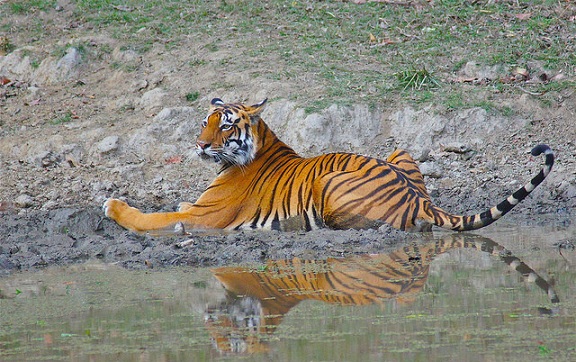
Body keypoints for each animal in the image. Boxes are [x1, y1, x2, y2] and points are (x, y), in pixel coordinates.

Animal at [102, 97, 552, 233]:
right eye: (204, 122)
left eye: (225, 124)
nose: (199, 144)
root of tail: (420, 200)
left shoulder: (203, 217)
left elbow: (154, 217)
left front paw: (113, 206)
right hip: (399, 151)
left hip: (329, 184)